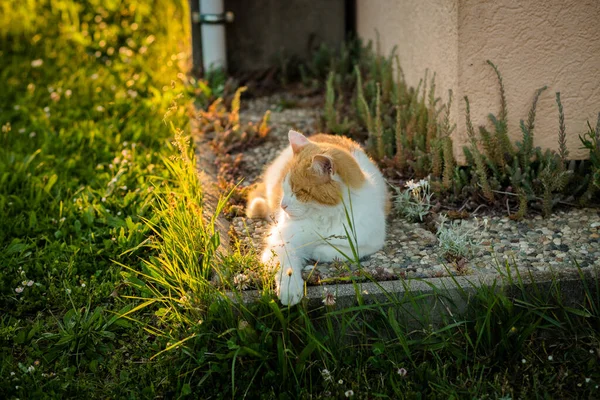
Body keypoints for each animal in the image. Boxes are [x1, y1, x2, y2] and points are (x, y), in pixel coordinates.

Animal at [245, 130, 390, 304]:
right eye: (284, 188)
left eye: (298, 192)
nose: (282, 205)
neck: (325, 214)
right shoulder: (280, 240)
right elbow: (287, 265)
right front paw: (290, 288)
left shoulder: (372, 241)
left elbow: (344, 251)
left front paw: (318, 250)